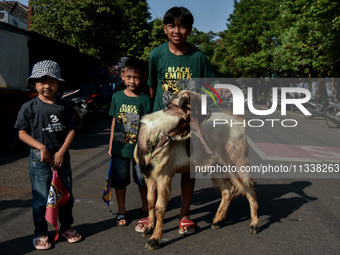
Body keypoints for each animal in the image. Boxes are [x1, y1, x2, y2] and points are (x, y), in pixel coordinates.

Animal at [134, 90, 258, 250]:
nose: (209, 112)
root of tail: (238, 123)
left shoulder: (164, 176)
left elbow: (159, 207)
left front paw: (154, 239)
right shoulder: (149, 177)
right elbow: (150, 202)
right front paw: (148, 229)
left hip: (236, 161)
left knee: (248, 186)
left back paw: (254, 224)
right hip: (217, 166)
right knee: (227, 190)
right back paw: (217, 221)